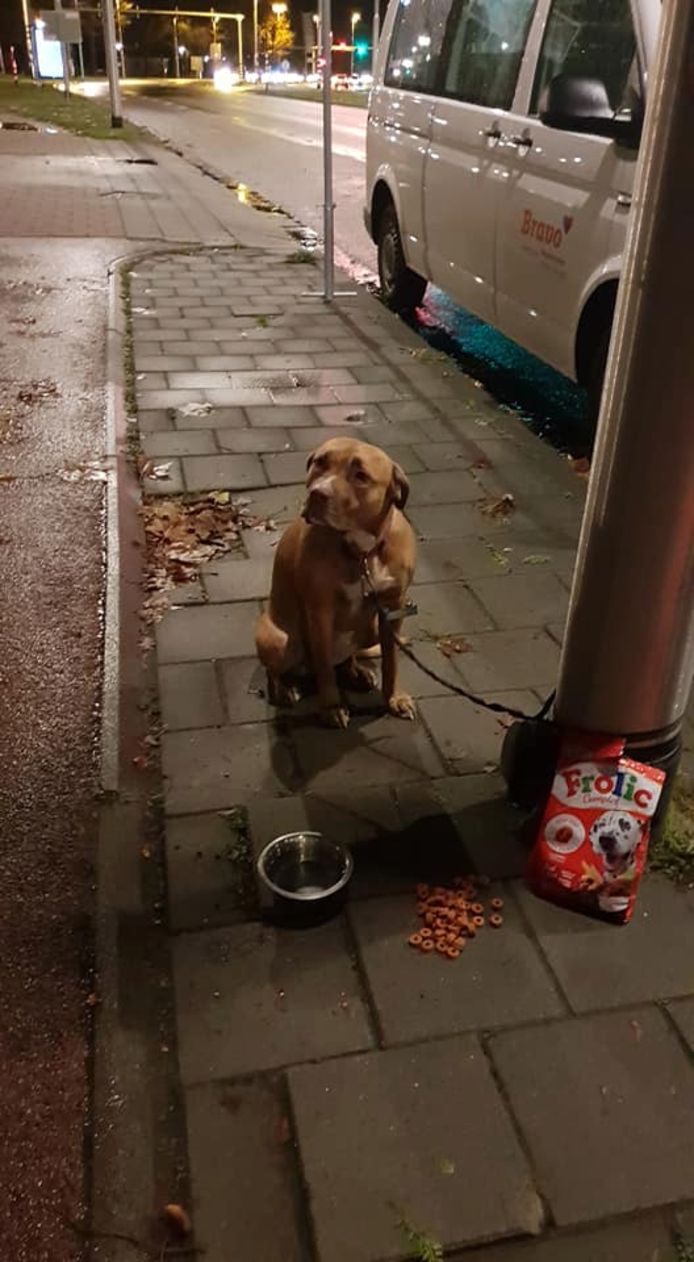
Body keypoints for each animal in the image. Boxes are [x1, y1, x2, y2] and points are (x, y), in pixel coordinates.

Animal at [257, 436, 416, 726]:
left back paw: (356, 672)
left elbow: (392, 661)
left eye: (361, 476)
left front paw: (394, 697)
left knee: (346, 658)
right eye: (320, 462)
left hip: (372, 627)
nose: (317, 493)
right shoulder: (320, 612)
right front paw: (331, 706)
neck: (362, 552)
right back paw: (285, 689)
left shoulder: (393, 608)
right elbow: (324, 668)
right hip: (283, 641)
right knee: (278, 670)